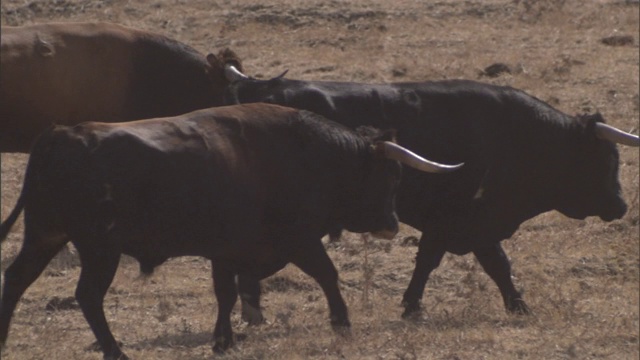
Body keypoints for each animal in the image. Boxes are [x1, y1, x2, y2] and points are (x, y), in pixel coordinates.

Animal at [0, 102, 460, 358]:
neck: (305, 155)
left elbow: (227, 292)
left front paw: (223, 340)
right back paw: (115, 351)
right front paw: (342, 323)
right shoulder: (298, 240)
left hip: (45, 236)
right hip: (98, 249)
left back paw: (4, 340)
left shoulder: (227, 252)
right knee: (87, 296)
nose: (391, 225)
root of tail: (60, 135)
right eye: (391, 178)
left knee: (16, 279)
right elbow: (327, 275)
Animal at [224, 69, 640, 320]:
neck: (517, 137)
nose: (621, 206)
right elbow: (479, 263)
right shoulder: (461, 220)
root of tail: (261, 87)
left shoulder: (462, 225)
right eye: (604, 161)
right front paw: (518, 306)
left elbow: (466, 263)